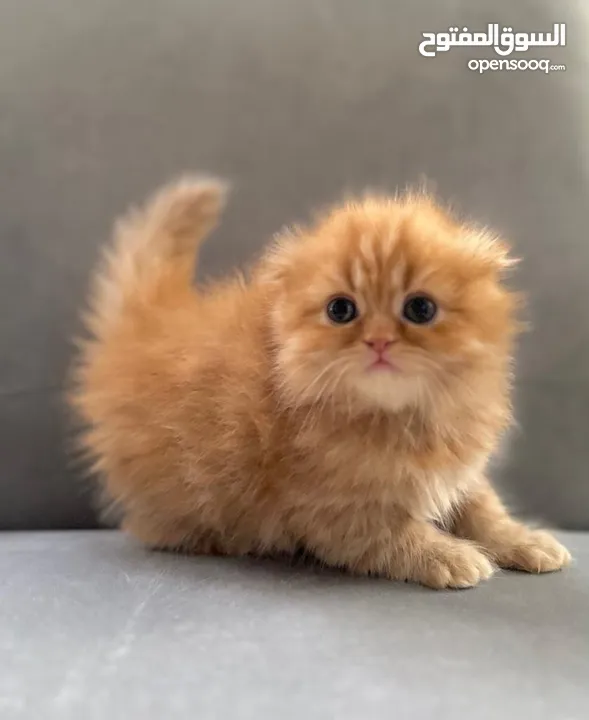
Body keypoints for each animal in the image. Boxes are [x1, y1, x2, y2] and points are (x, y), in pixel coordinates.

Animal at [69, 177, 568, 588]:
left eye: (420, 308)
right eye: (341, 310)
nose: (379, 341)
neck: (400, 418)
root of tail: (143, 326)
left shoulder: (460, 470)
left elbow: (485, 508)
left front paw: (525, 540)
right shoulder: (333, 513)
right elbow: (399, 535)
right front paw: (450, 555)